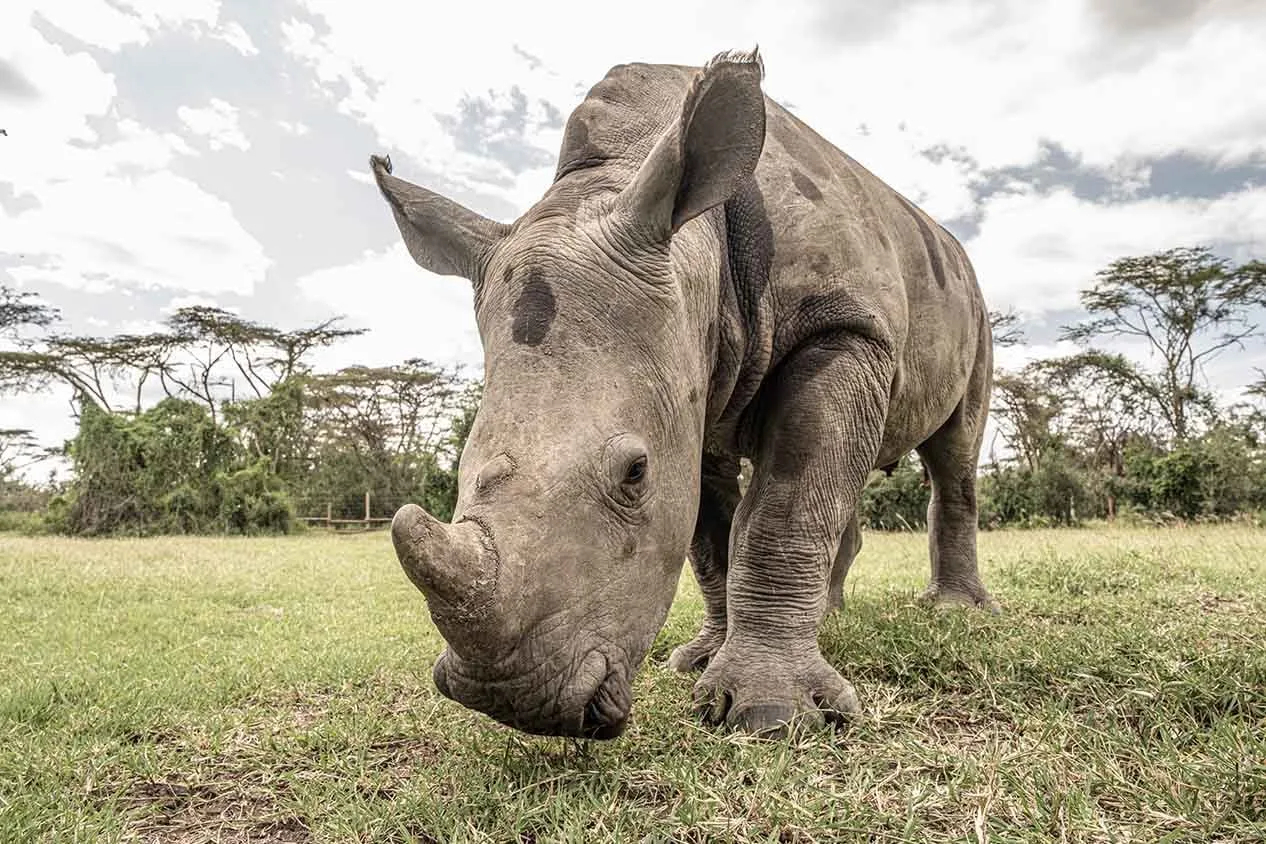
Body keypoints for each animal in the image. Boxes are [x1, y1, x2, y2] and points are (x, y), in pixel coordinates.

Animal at [372, 47, 997, 741]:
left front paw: (773, 715)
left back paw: (956, 612)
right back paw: (833, 615)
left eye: (634, 473)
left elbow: (783, 507)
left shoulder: (844, 325)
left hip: (969, 303)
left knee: (953, 451)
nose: (511, 698)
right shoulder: (691, 381)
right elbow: (710, 534)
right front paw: (700, 660)